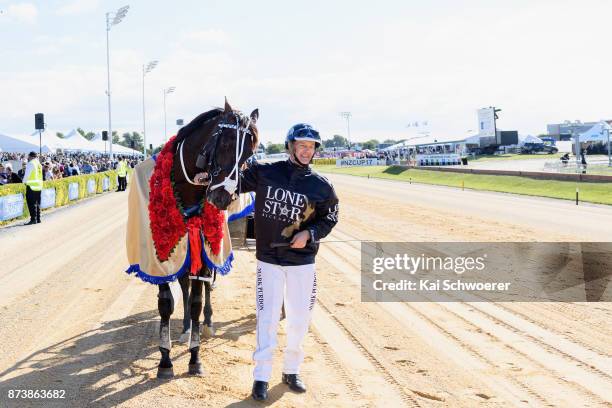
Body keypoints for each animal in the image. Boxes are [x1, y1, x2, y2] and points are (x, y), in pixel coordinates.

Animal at [155, 99, 258, 380]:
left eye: (249, 155)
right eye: (226, 143)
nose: (222, 198)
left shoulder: (201, 254)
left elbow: (197, 302)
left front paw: (195, 358)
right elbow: (167, 303)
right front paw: (165, 360)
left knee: (205, 290)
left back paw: (208, 323)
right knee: (185, 285)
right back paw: (186, 328)